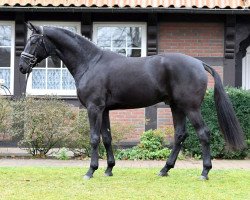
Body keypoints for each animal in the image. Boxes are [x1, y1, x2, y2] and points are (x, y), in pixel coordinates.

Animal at [20, 22, 246, 180]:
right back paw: (164, 169)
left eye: (34, 41)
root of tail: (199, 63)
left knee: (203, 134)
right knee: (180, 134)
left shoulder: (94, 108)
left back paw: (204, 172)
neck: (90, 62)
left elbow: (94, 138)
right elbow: (107, 137)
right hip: (176, 107)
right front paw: (109, 169)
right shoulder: (104, 110)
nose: (22, 66)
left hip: (191, 108)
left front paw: (90, 171)